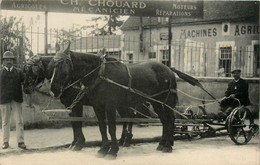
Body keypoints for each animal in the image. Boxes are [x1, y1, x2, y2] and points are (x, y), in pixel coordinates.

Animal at [49, 42, 178, 157]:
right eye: (52, 64)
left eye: (63, 64)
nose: (53, 89)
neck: (99, 74)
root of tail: (169, 69)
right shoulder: (97, 107)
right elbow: (102, 127)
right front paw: (103, 149)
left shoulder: (109, 106)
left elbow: (111, 128)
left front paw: (112, 150)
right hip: (156, 103)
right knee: (164, 121)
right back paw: (162, 144)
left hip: (166, 102)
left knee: (170, 120)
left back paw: (167, 146)